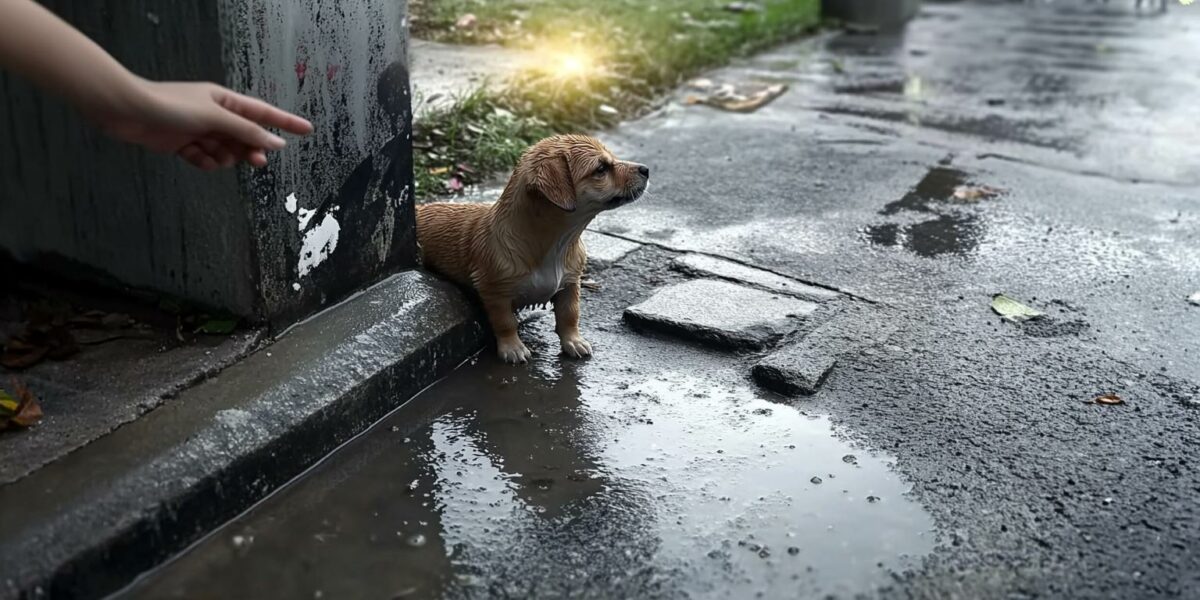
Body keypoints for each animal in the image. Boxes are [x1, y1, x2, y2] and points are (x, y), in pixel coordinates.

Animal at [420, 134, 648, 362]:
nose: (646, 169)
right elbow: (505, 322)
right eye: (601, 169)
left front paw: (573, 341)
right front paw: (512, 347)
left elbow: (570, 315)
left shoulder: (570, 283)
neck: (559, 243)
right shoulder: (494, 291)